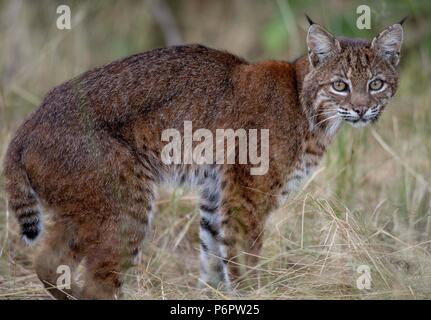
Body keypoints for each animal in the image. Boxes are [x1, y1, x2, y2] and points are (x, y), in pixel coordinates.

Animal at [2, 18, 404, 300]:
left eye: (376, 84)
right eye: (340, 85)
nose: (362, 110)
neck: (306, 105)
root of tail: (30, 121)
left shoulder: (216, 192)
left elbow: (213, 256)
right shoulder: (248, 195)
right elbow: (243, 257)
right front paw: (253, 293)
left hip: (83, 206)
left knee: (47, 261)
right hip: (126, 204)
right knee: (96, 285)